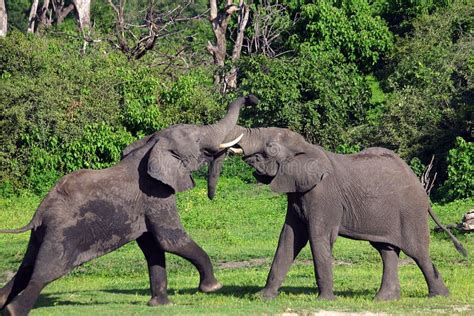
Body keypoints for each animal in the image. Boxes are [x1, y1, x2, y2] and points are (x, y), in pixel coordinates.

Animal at [0, 96, 258, 316]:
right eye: (198, 141)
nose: (252, 99)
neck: (151, 146)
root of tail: (40, 212)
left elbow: (152, 247)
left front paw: (159, 305)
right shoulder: (156, 194)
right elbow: (170, 240)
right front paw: (212, 287)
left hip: (43, 233)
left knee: (25, 268)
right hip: (63, 233)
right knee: (44, 273)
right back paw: (14, 311)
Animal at [208, 126, 466, 302]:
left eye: (271, 148)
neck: (307, 148)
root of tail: (421, 189)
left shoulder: (323, 195)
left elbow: (317, 237)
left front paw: (324, 300)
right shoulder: (298, 193)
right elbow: (289, 238)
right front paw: (262, 297)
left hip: (410, 211)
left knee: (417, 251)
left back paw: (439, 296)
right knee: (386, 250)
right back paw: (384, 299)